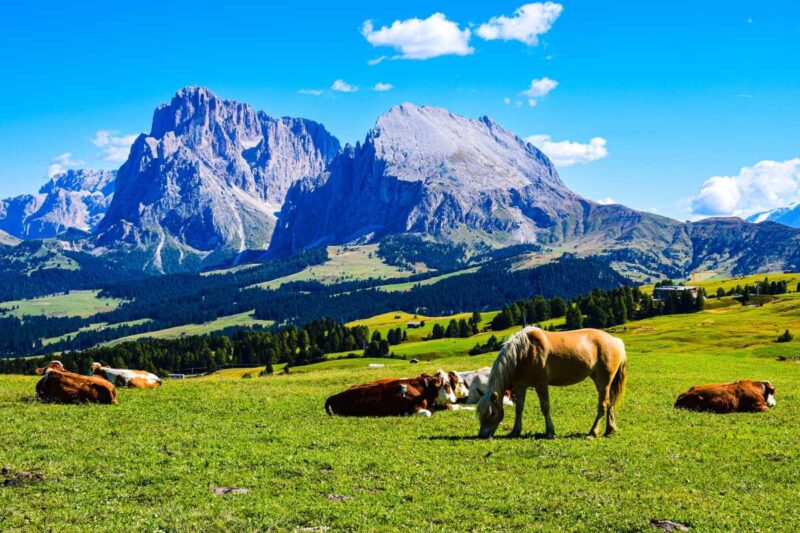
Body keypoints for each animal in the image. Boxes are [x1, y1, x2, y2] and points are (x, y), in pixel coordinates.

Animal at [478, 326, 628, 438]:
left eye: (492, 413)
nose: (482, 435)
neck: (523, 352)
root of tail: (615, 341)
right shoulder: (521, 386)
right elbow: (519, 408)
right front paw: (515, 431)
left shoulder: (541, 384)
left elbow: (545, 407)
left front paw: (550, 431)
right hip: (598, 379)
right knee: (609, 402)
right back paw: (610, 430)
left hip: (604, 381)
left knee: (603, 405)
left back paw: (593, 432)